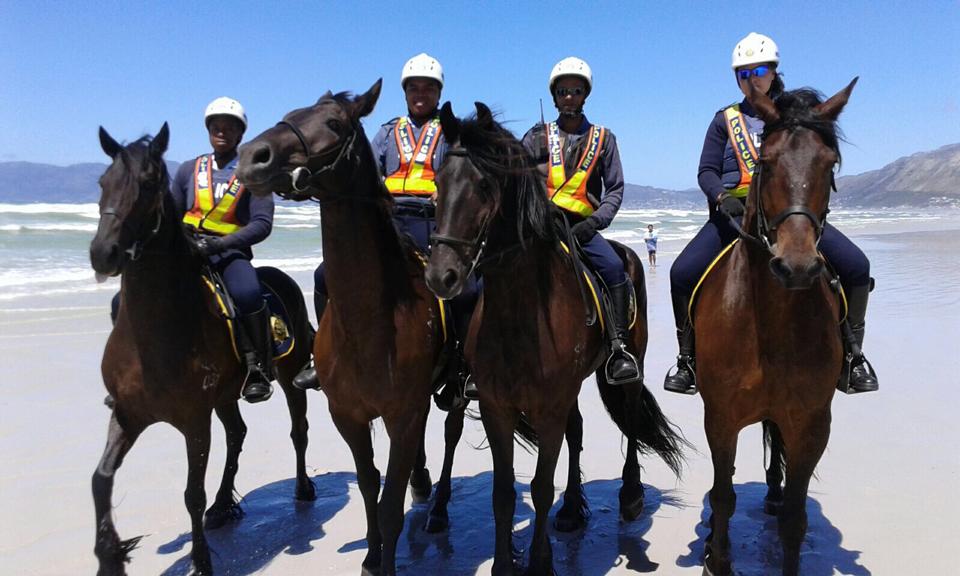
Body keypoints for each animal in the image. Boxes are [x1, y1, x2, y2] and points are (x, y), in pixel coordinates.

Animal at [89, 124, 316, 572]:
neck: (154, 334)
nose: (102, 253)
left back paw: (301, 490)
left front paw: (201, 560)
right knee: (237, 434)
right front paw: (110, 555)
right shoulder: (127, 413)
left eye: (147, 184)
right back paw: (224, 506)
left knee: (297, 431)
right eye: (103, 182)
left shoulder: (194, 420)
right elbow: (101, 480)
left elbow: (192, 493)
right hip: (227, 395)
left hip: (290, 375)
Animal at [424, 103, 688, 576]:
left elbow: (541, 487)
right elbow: (505, 493)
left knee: (630, 418)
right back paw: (571, 512)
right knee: (578, 431)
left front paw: (541, 563)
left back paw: (630, 497)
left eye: (485, 185)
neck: (521, 314)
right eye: (438, 183)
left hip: (628, 365)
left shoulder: (547, 407)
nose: (443, 275)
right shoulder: (496, 407)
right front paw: (504, 564)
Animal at [692, 81, 860, 576]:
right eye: (766, 161)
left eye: (830, 162)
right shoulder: (720, 418)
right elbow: (723, 497)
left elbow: (795, 518)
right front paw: (717, 558)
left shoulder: (812, 423)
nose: (797, 266)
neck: (769, 322)